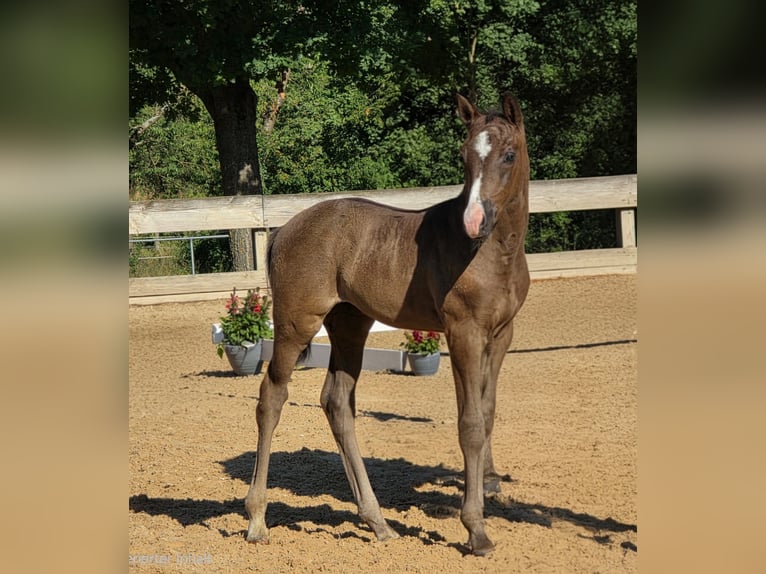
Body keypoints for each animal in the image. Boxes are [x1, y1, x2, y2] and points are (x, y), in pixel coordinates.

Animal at [244, 93, 530, 556]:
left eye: (509, 154)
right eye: (464, 155)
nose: (474, 221)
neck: (492, 253)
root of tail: (284, 229)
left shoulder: (501, 334)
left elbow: (486, 415)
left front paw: (489, 490)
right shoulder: (463, 332)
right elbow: (469, 424)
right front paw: (476, 529)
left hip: (349, 325)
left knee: (337, 403)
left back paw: (377, 521)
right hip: (295, 323)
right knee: (272, 397)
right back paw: (256, 518)